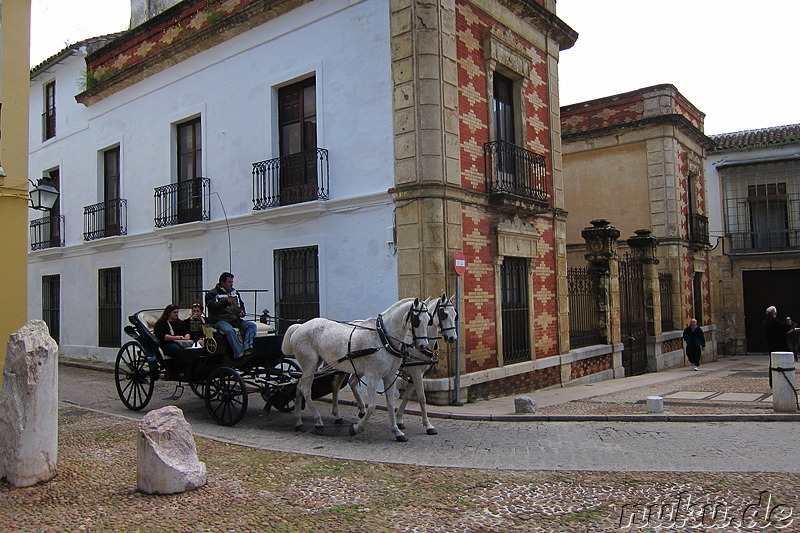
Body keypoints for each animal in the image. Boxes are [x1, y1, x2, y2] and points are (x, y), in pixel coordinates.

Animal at [282, 296, 432, 440]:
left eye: (429, 320)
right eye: (417, 320)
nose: (423, 346)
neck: (383, 338)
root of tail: (300, 326)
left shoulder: (389, 376)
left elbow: (391, 405)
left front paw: (396, 431)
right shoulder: (372, 376)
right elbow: (371, 407)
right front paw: (356, 428)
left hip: (314, 364)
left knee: (299, 387)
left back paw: (298, 421)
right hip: (310, 364)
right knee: (306, 390)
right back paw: (318, 422)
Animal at [396, 294, 460, 434]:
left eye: (455, 315)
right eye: (444, 314)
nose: (453, 338)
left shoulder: (417, 375)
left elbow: (407, 396)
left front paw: (399, 419)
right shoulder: (416, 373)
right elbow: (422, 398)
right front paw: (428, 425)